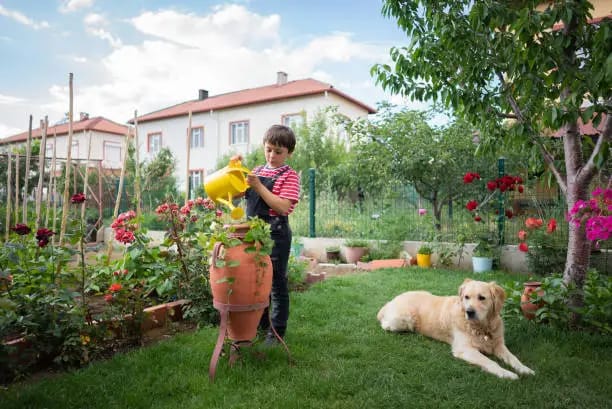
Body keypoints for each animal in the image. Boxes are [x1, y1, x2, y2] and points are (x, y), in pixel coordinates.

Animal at [378, 278, 536, 380]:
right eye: (466, 297)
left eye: (482, 298)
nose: (469, 312)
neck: (482, 327)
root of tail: (389, 301)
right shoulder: (465, 349)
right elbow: (490, 362)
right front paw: (506, 374)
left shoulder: (498, 344)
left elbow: (514, 358)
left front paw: (525, 369)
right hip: (405, 320)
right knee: (385, 324)